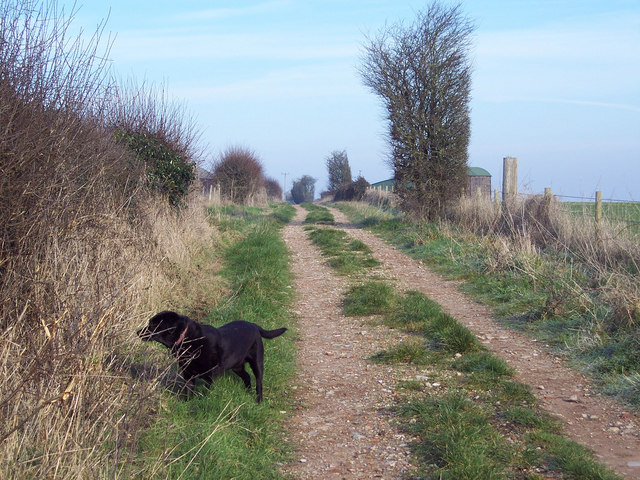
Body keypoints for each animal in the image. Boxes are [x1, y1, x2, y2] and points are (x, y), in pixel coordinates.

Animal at [139, 312, 286, 402]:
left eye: (152, 325)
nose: (137, 332)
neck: (187, 339)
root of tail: (254, 325)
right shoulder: (188, 374)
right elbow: (188, 391)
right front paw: (187, 404)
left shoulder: (209, 376)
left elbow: (207, 391)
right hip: (236, 366)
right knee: (247, 377)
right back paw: (247, 392)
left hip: (257, 362)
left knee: (258, 381)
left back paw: (258, 400)